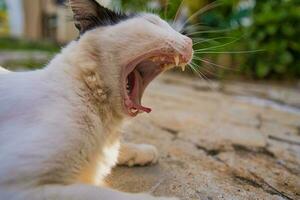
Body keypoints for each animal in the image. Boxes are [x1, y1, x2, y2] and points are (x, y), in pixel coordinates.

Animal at [0, 0, 192, 199]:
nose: (190, 42)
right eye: (152, 22)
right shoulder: (22, 186)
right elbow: (111, 195)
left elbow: (115, 152)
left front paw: (142, 151)